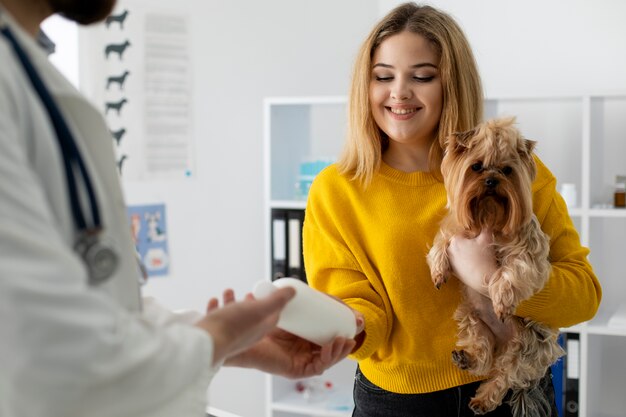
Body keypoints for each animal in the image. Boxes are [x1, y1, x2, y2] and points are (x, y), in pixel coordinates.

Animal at [426, 118, 564, 416]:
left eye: (507, 170)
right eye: (477, 167)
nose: (491, 180)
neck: (488, 214)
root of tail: (503, 343)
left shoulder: (529, 254)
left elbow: (508, 271)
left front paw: (502, 301)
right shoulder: (455, 229)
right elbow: (440, 243)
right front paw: (438, 269)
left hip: (529, 345)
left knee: (504, 375)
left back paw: (483, 400)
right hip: (472, 318)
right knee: (484, 353)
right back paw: (466, 358)